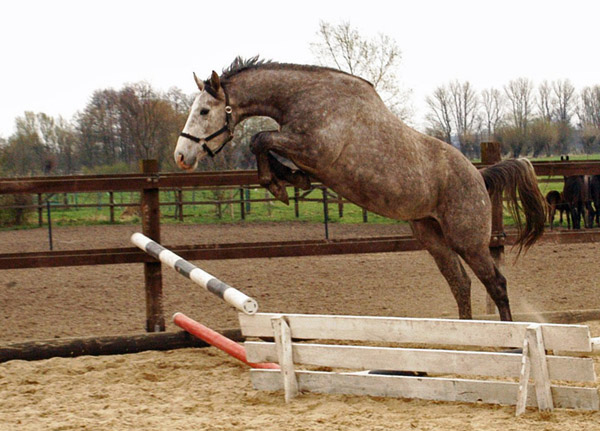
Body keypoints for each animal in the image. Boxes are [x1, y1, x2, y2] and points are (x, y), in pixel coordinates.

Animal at [173, 56, 548, 320]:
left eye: (204, 111)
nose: (181, 156)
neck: (304, 97)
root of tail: (479, 177)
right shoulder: (303, 150)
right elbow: (264, 145)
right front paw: (289, 181)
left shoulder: (313, 149)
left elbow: (259, 139)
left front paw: (281, 185)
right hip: (432, 237)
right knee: (461, 284)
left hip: (468, 241)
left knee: (495, 283)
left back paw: (510, 340)